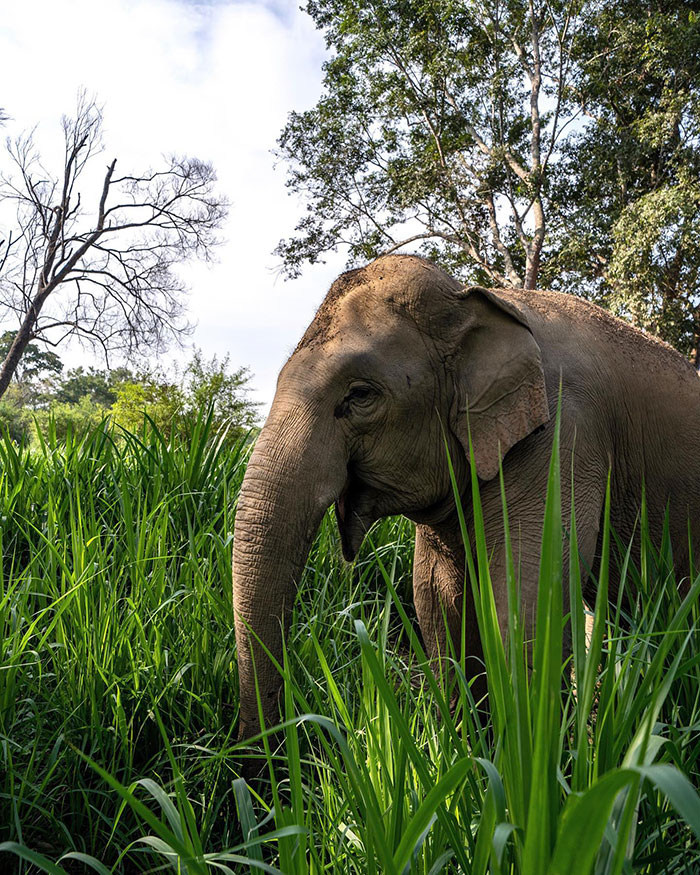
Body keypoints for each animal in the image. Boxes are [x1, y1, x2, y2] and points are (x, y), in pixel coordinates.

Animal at [232, 254, 700, 740]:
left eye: (360, 395)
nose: (264, 752)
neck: (474, 301)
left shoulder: (563, 436)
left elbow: (527, 598)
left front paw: (531, 753)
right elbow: (438, 598)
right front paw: (467, 743)